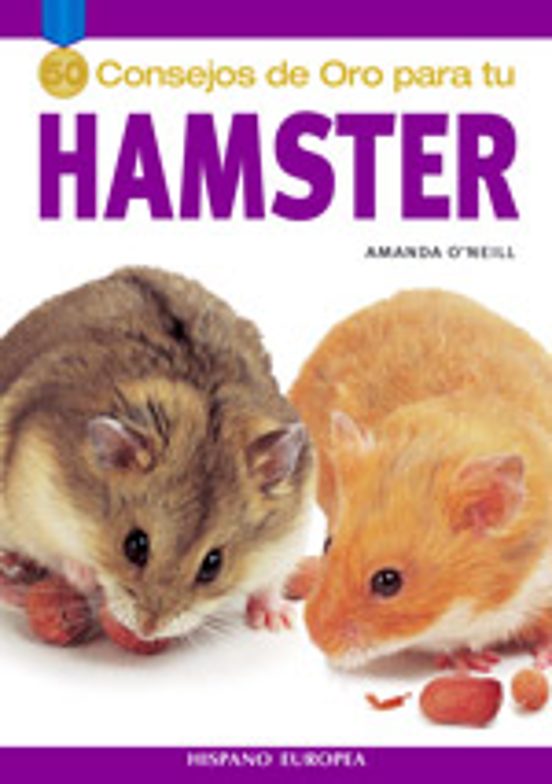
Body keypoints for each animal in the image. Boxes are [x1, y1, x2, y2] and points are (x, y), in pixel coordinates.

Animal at [0, 267, 314, 640]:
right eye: (134, 546)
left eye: (213, 564)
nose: (148, 631)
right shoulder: (31, 497)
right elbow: (60, 553)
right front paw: (86, 578)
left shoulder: (289, 535)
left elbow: (270, 581)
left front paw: (277, 622)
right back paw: (16, 587)